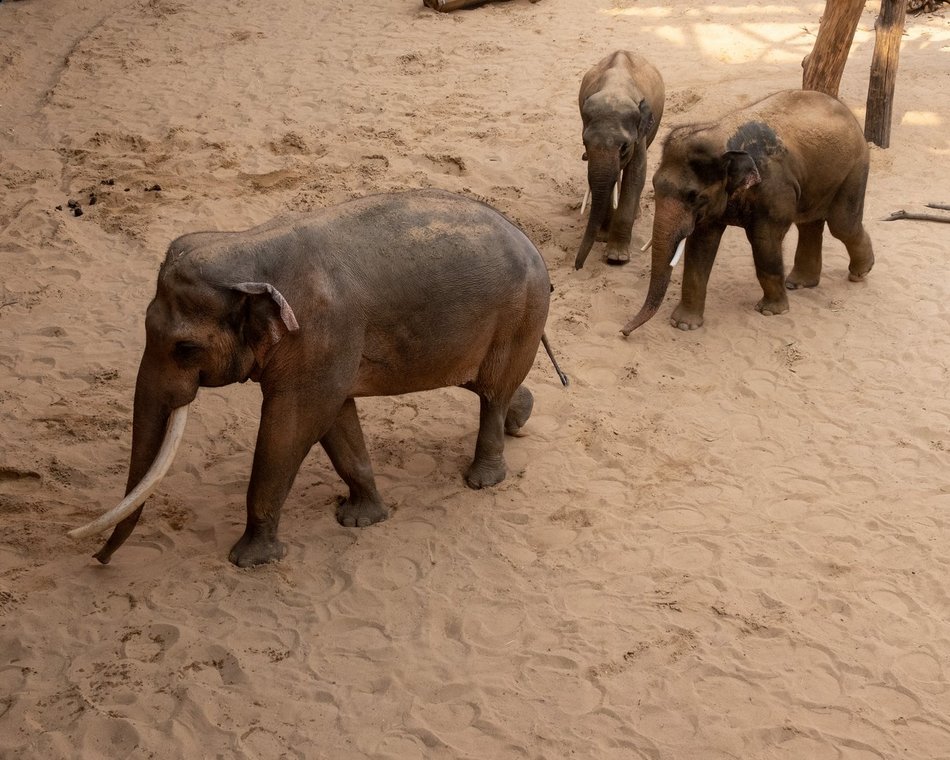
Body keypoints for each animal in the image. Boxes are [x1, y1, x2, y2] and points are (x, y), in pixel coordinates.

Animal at [72, 190, 564, 568]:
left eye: (185, 349)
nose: (98, 559)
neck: (249, 247)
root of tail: (528, 239)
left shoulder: (319, 337)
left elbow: (290, 427)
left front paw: (250, 561)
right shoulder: (324, 353)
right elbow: (335, 420)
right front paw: (362, 519)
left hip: (519, 314)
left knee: (491, 393)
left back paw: (483, 479)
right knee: (486, 386)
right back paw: (522, 416)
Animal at [572, 50, 668, 270]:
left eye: (624, 147)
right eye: (584, 142)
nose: (577, 267)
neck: (615, 90)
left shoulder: (640, 133)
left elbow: (637, 173)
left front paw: (616, 258)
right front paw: (602, 237)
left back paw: (637, 215)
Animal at [624, 90, 876, 334]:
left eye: (693, 196)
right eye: (654, 185)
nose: (625, 331)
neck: (720, 135)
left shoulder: (774, 190)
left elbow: (764, 242)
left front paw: (770, 311)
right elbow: (701, 245)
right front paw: (684, 325)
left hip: (854, 168)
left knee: (842, 224)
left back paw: (859, 273)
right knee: (810, 223)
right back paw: (799, 284)